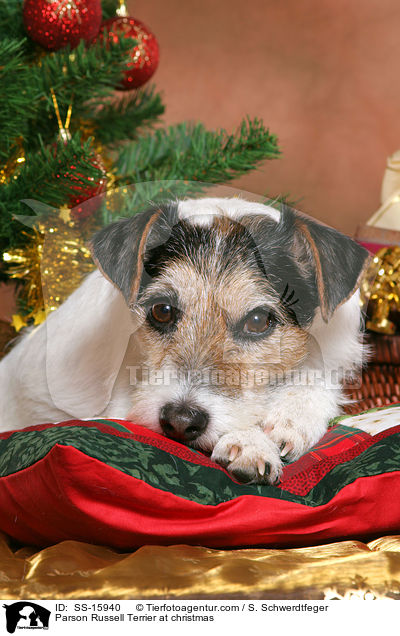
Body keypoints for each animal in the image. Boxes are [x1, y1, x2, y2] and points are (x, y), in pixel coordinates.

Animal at [0, 196, 370, 484]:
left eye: (258, 320)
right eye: (162, 311)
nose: (180, 421)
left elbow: (315, 378)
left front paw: (290, 418)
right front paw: (251, 441)